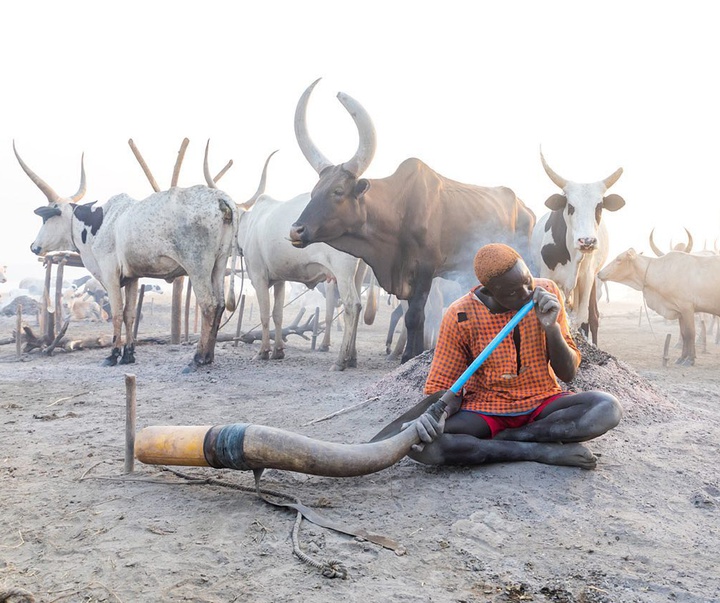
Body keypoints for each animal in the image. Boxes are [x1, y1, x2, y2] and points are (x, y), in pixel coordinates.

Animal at [16, 142, 238, 370]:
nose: (34, 246)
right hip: (219, 264)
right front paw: (128, 355)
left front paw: (113, 355)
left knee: (209, 305)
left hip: (197, 267)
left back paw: (198, 358)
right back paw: (209, 355)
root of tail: (220, 197)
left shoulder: (110, 274)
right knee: (220, 305)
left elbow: (116, 313)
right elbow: (129, 314)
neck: (99, 222)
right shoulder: (133, 277)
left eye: (46, 219)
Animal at [288, 80, 536, 364]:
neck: (399, 209)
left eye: (338, 191)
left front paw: (408, 355)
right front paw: (413, 353)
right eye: (314, 191)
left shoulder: (425, 269)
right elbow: (417, 317)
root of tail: (525, 208)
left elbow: (415, 315)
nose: (296, 230)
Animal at [528, 150, 624, 344]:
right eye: (570, 206)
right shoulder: (547, 275)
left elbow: (581, 318)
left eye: (599, 206)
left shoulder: (587, 279)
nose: (587, 241)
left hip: (593, 281)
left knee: (592, 317)